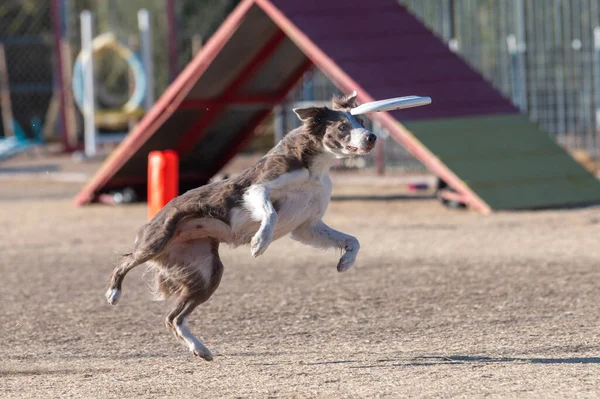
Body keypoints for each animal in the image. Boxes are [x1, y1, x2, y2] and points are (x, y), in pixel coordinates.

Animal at [103, 91, 376, 362]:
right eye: (342, 126)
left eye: (362, 122)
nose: (371, 137)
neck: (314, 168)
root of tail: (156, 219)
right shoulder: (257, 189)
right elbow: (270, 213)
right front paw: (259, 243)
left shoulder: (307, 226)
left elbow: (352, 240)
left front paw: (345, 262)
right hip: (156, 241)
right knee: (124, 263)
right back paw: (114, 293)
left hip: (208, 271)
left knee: (173, 318)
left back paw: (200, 348)